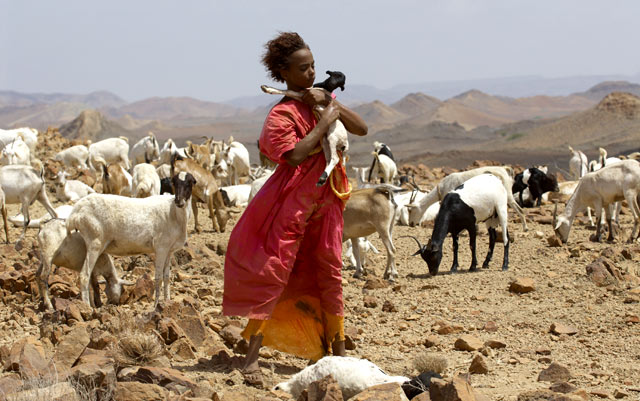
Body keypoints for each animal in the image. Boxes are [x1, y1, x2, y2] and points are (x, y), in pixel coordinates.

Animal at [65, 172, 196, 306]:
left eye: (190, 182)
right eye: (174, 182)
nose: (178, 201)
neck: (174, 213)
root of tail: (76, 212)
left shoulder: (168, 251)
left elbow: (167, 278)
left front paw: (167, 301)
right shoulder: (161, 248)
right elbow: (158, 278)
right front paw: (156, 305)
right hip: (95, 242)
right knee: (84, 275)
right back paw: (87, 306)